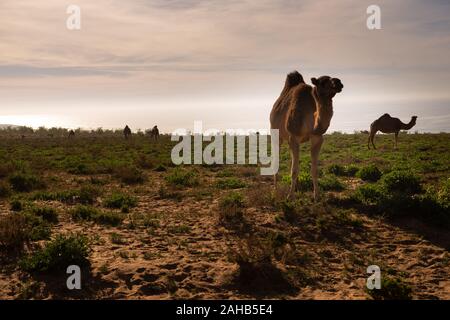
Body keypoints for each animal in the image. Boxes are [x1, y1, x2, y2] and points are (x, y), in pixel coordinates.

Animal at [270, 70, 344, 200]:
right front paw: (290, 196)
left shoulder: (317, 137)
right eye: (323, 82)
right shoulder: (294, 136)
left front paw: (317, 196)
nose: (338, 82)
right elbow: (294, 170)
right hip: (276, 134)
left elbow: (314, 170)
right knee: (277, 160)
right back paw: (276, 190)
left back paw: (298, 188)